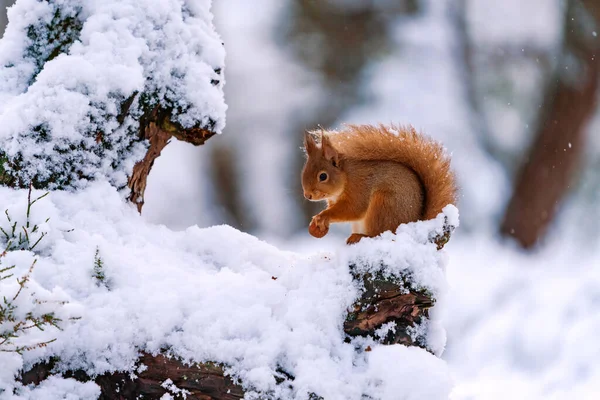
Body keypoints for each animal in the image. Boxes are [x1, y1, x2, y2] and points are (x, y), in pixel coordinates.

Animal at [302, 124, 458, 244]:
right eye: (304, 170)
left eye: (323, 176)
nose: (307, 195)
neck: (346, 177)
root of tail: (414, 225)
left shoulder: (359, 187)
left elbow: (354, 209)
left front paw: (322, 217)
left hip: (383, 205)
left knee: (378, 234)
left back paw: (360, 237)